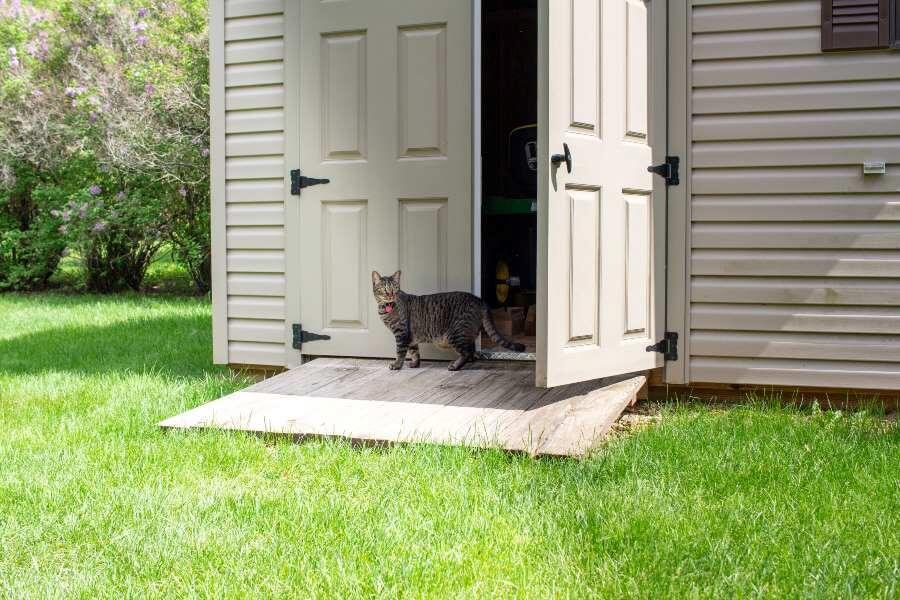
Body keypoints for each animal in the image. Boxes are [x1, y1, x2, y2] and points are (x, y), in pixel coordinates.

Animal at [372, 268, 528, 370]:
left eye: (395, 287)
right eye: (384, 289)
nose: (391, 294)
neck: (386, 308)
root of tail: (478, 299)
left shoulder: (402, 333)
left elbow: (400, 352)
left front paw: (397, 365)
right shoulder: (411, 336)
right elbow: (414, 351)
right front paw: (415, 364)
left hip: (455, 333)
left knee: (466, 352)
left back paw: (455, 366)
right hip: (467, 333)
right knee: (471, 351)